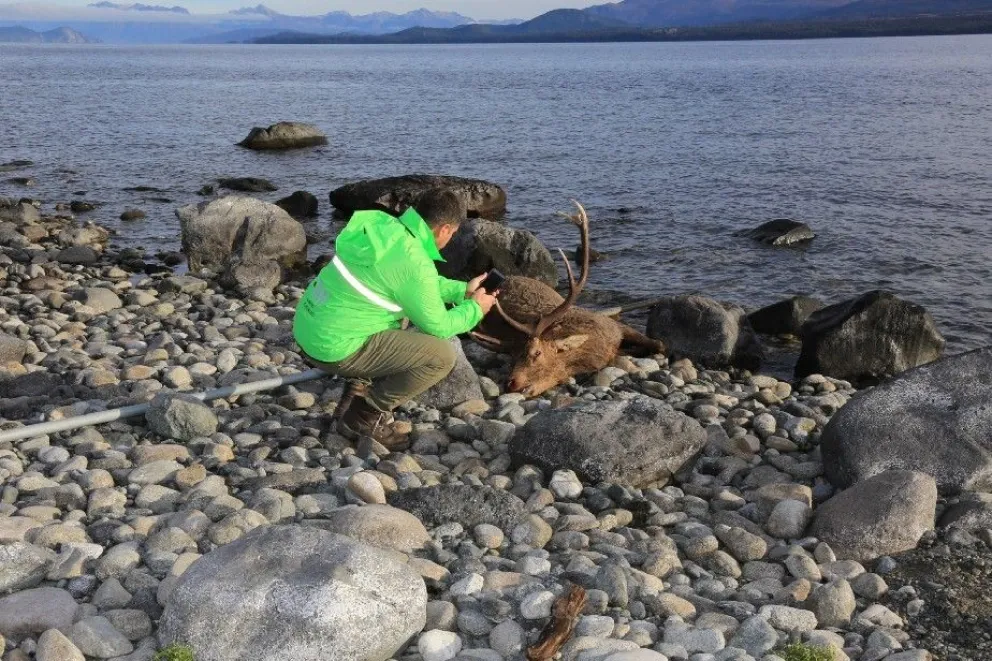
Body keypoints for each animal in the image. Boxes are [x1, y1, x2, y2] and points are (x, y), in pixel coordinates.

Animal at [470, 201, 666, 398]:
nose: (510, 383)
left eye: (536, 353)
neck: (596, 347)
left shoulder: (615, 325)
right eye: (513, 356)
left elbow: (659, 344)